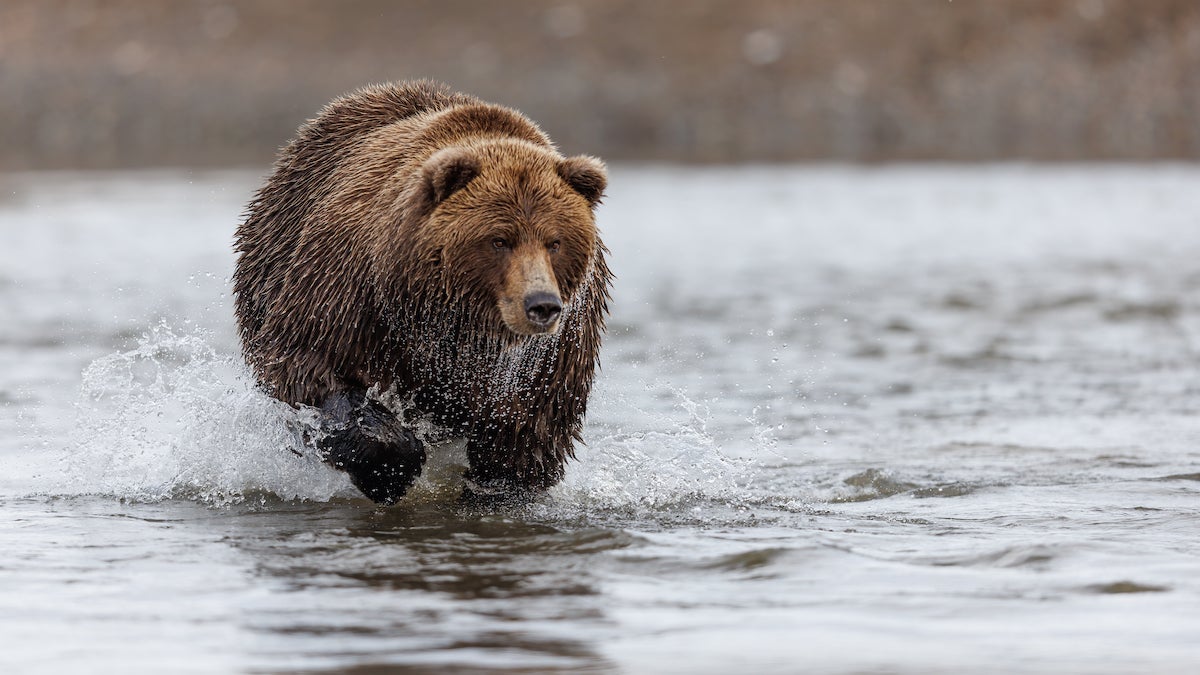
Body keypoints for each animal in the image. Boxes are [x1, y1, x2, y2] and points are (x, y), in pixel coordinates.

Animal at [232, 80, 611, 505]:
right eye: (499, 240)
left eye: (555, 242)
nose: (541, 305)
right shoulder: (352, 294)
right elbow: (309, 366)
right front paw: (391, 468)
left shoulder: (553, 353)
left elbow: (527, 431)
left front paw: (496, 489)